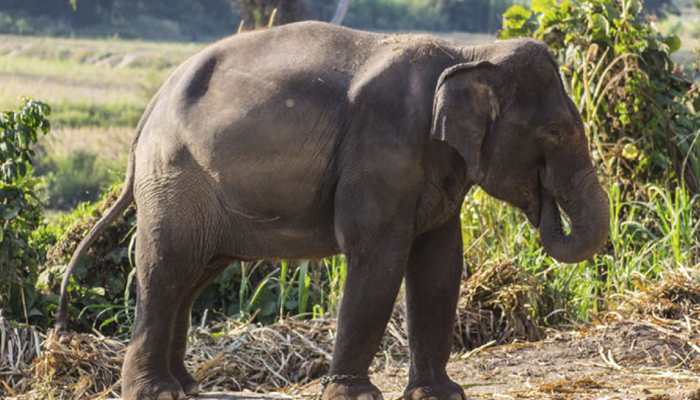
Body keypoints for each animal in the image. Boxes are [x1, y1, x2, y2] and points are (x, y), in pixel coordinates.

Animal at [56, 21, 608, 400]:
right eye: (554, 132)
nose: (543, 206)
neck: (468, 55)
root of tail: (148, 112)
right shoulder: (382, 146)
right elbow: (378, 256)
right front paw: (356, 396)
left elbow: (440, 262)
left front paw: (442, 395)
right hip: (175, 179)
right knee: (166, 267)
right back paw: (158, 392)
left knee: (193, 274)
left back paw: (187, 386)